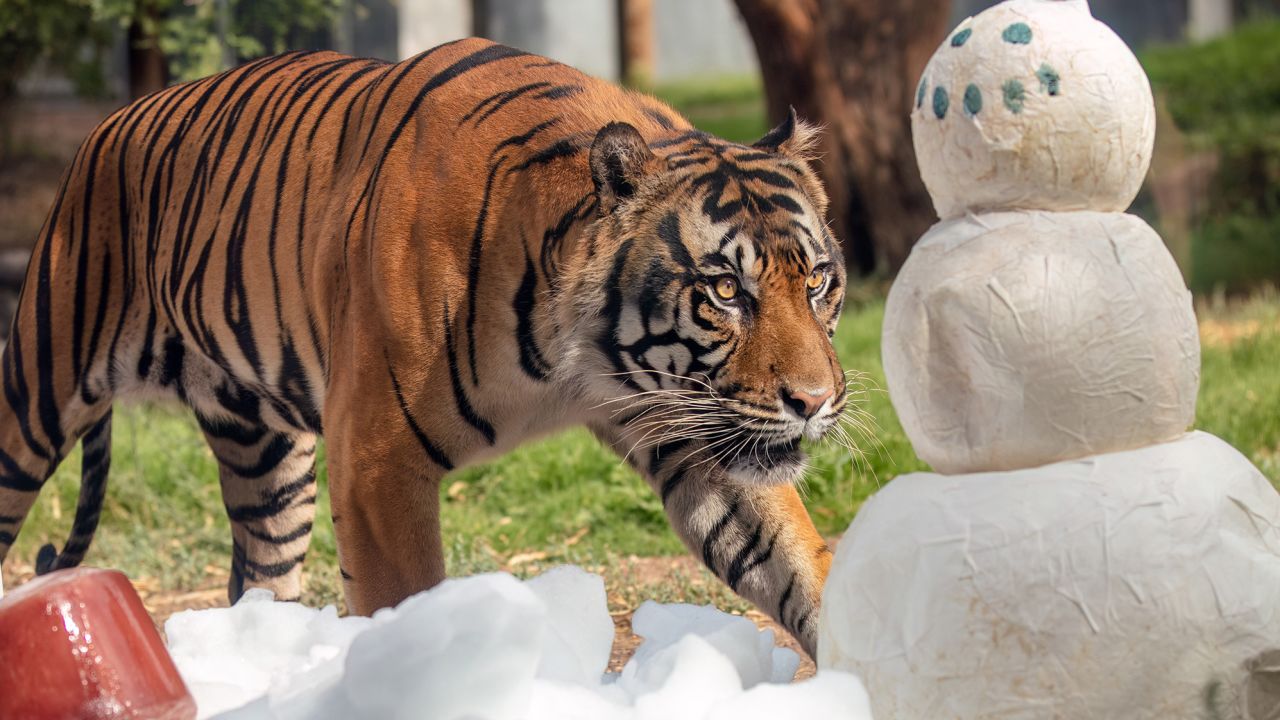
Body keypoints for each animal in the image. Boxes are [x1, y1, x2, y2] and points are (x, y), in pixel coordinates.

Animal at [0, 39, 849, 655]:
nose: (814, 403)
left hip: (268, 466)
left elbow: (798, 566)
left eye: (817, 282)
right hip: (38, 389)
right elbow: (403, 601)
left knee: (260, 577)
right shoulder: (376, 460)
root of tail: (113, 121)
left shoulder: (693, 429)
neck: (582, 363)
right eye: (725, 291)